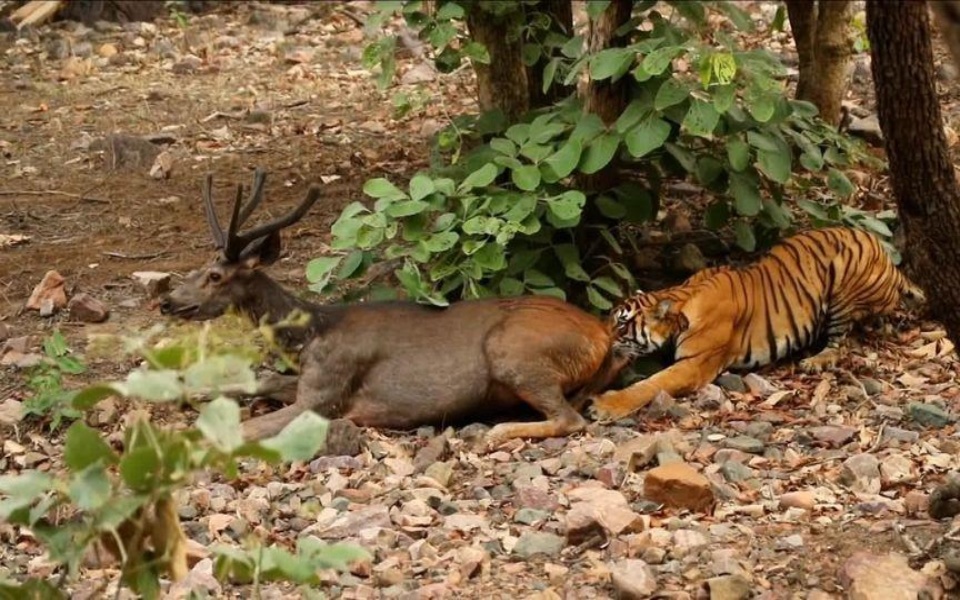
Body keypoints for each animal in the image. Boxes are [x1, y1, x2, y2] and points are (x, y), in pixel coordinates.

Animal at [159, 168, 632, 450]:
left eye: (215, 276)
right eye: (199, 266)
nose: (168, 301)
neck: (310, 334)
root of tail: (601, 333)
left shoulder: (325, 393)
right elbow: (254, 382)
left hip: (513, 350)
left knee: (570, 419)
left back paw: (498, 432)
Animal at [588, 226, 928, 422]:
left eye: (621, 325)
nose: (602, 343)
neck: (681, 297)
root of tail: (885, 255)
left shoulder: (694, 365)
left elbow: (649, 385)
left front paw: (605, 405)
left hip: (845, 284)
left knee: (842, 343)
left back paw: (815, 361)